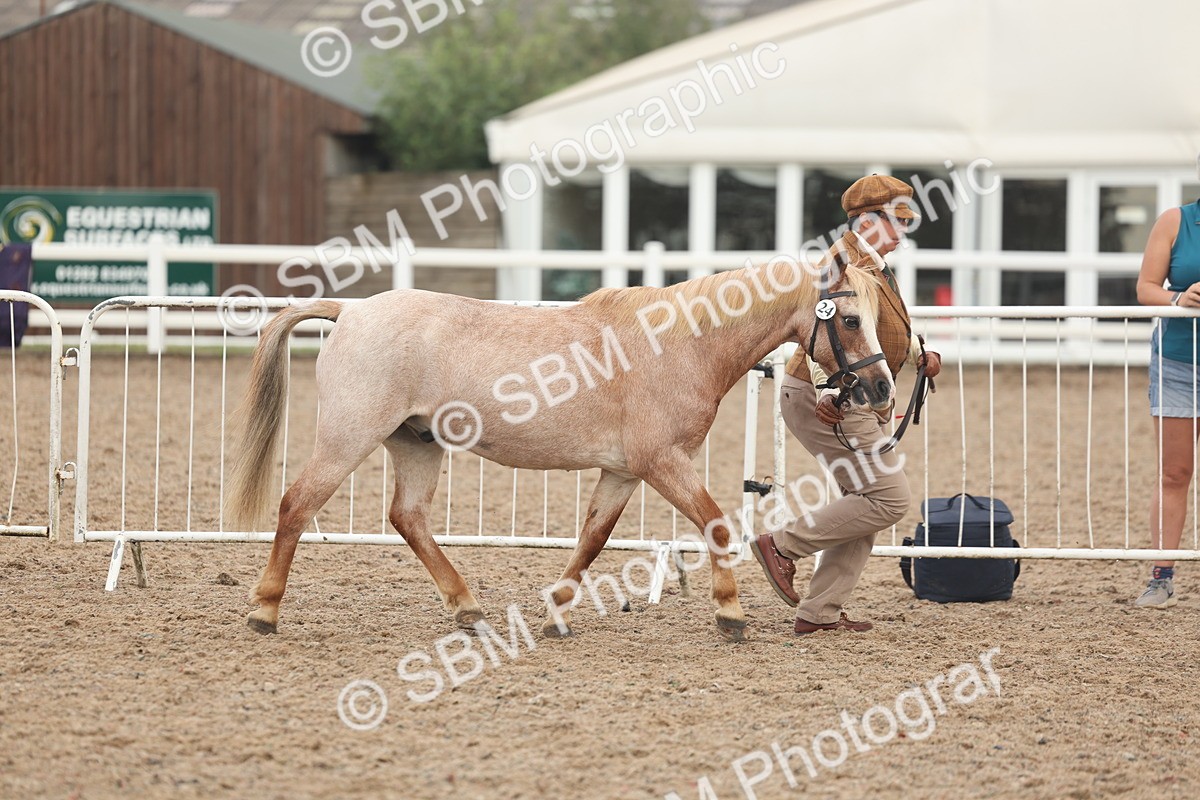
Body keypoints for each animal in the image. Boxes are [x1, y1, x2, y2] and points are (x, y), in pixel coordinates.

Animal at [225, 256, 894, 641]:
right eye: (851, 319)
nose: (884, 388)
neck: (679, 342)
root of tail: (351, 310)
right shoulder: (663, 463)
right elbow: (717, 524)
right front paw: (730, 615)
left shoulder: (624, 472)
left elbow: (593, 539)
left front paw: (555, 614)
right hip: (349, 438)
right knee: (296, 505)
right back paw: (264, 611)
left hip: (416, 444)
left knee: (407, 517)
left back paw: (469, 609)